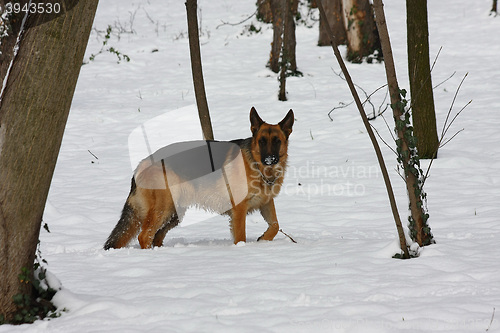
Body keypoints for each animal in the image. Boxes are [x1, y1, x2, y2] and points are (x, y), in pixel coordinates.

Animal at [104, 107, 292, 248]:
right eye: (262, 141)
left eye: (277, 141)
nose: (270, 159)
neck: (257, 166)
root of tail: (141, 164)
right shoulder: (239, 210)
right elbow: (240, 237)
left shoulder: (266, 202)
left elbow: (275, 226)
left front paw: (263, 239)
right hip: (164, 209)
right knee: (144, 235)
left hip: (174, 213)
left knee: (156, 236)